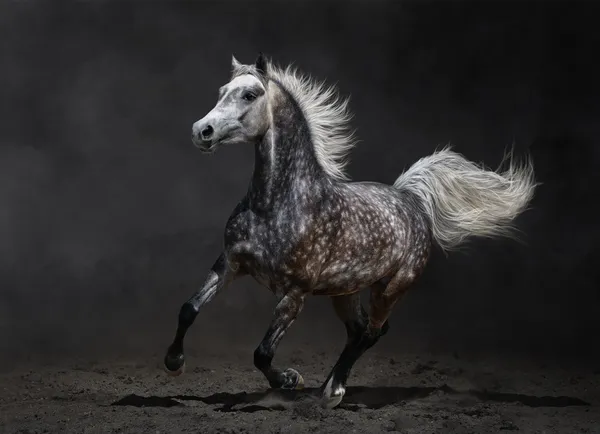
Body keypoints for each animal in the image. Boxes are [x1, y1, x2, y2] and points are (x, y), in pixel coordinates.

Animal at [162, 52, 536, 408]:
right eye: (222, 91)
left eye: (249, 94)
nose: (202, 131)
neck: (276, 205)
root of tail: (410, 199)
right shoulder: (229, 264)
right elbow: (189, 309)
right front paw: (174, 363)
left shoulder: (295, 292)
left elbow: (262, 353)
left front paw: (290, 380)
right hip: (345, 292)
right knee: (358, 332)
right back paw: (329, 386)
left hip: (390, 289)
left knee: (372, 332)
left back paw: (332, 391)